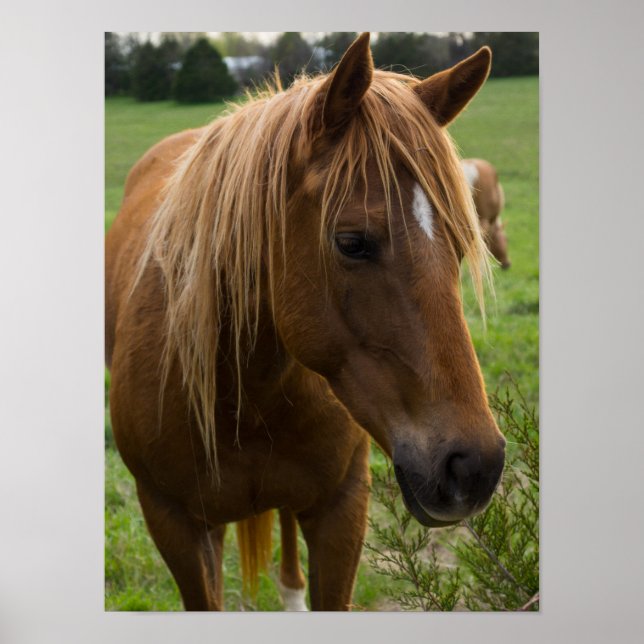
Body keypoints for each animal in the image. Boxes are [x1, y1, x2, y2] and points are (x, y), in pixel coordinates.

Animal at [105, 33, 506, 611]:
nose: (474, 466)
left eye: (460, 241)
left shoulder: (341, 509)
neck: (241, 392)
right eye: (352, 243)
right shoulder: (172, 521)